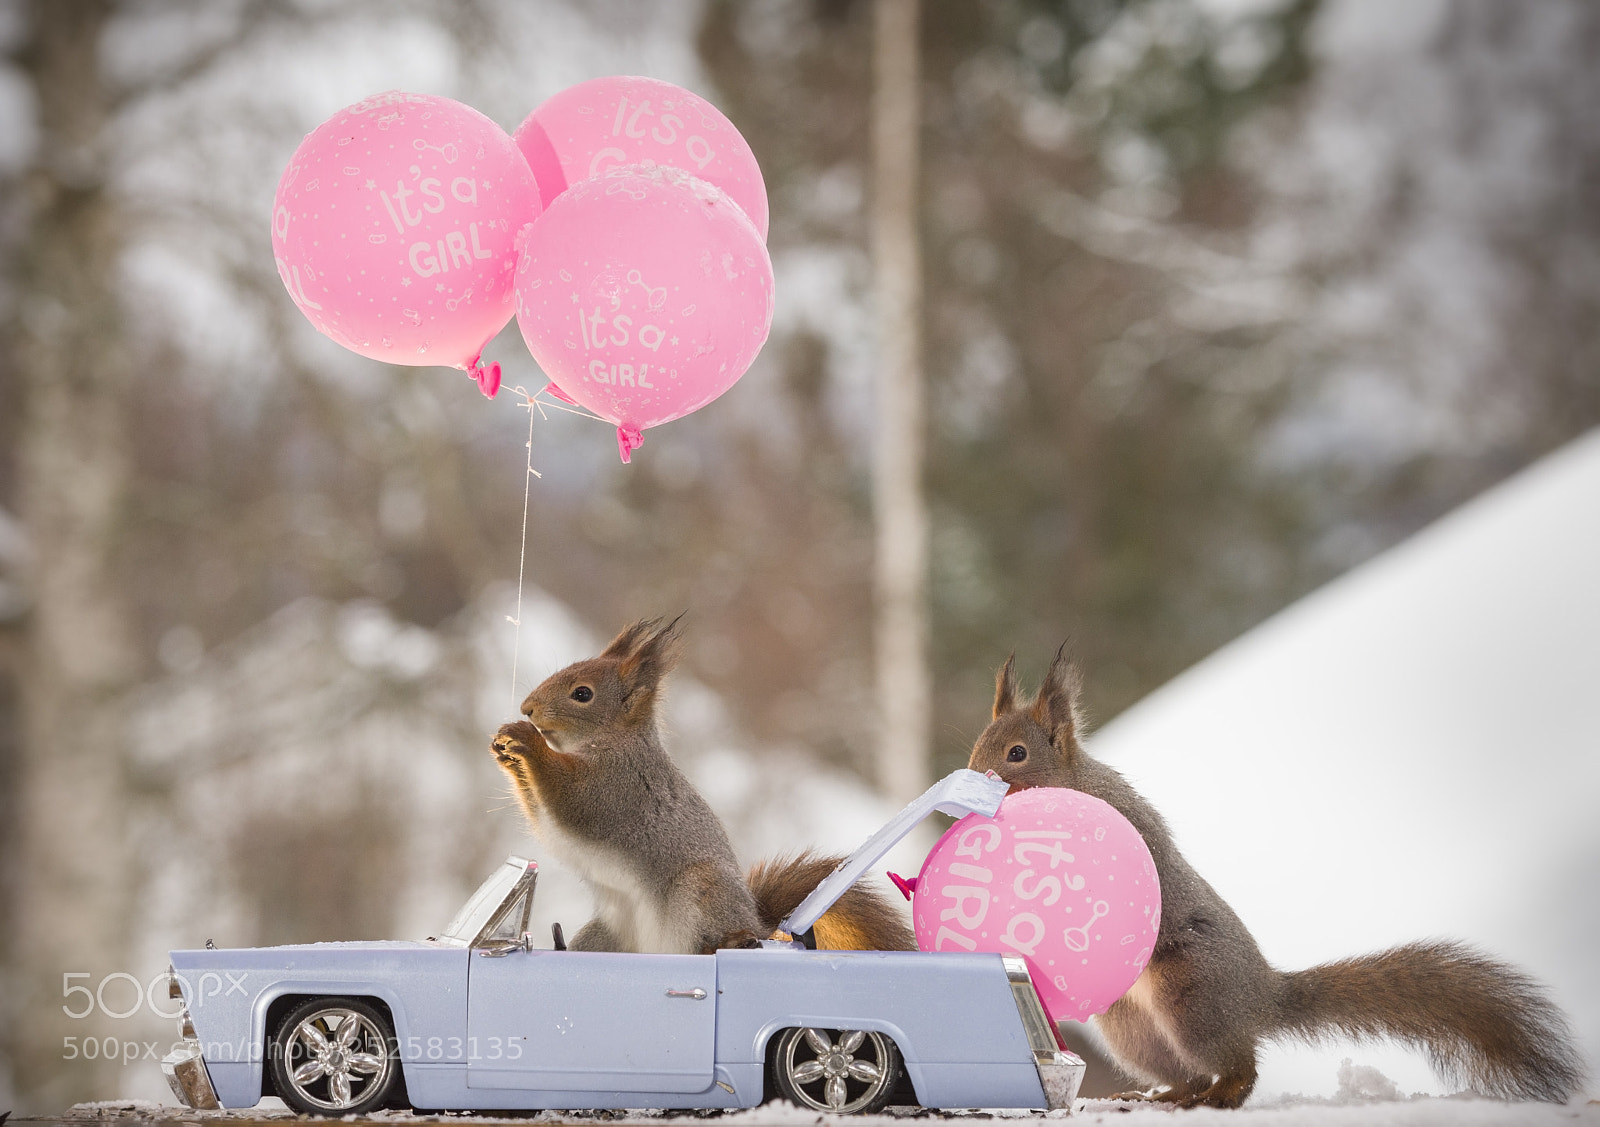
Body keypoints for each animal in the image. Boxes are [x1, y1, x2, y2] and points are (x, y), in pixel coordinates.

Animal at [490, 616, 913, 956]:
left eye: (582, 693)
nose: (527, 707)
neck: (612, 742)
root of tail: (759, 924)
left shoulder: (618, 787)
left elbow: (571, 798)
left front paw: (527, 741)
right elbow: (543, 814)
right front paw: (506, 752)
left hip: (702, 891)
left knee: (712, 941)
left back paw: (728, 943)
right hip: (609, 931)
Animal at [966, 646, 1585, 1109]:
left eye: (1016, 753)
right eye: (978, 744)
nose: (967, 782)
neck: (1070, 785)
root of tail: (1259, 997)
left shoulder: (1128, 827)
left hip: (1193, 997)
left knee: (1239, 1066)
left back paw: (1223, 1094)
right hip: (1131, 1027)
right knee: (1189, 1072)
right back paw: (1164, 1096)